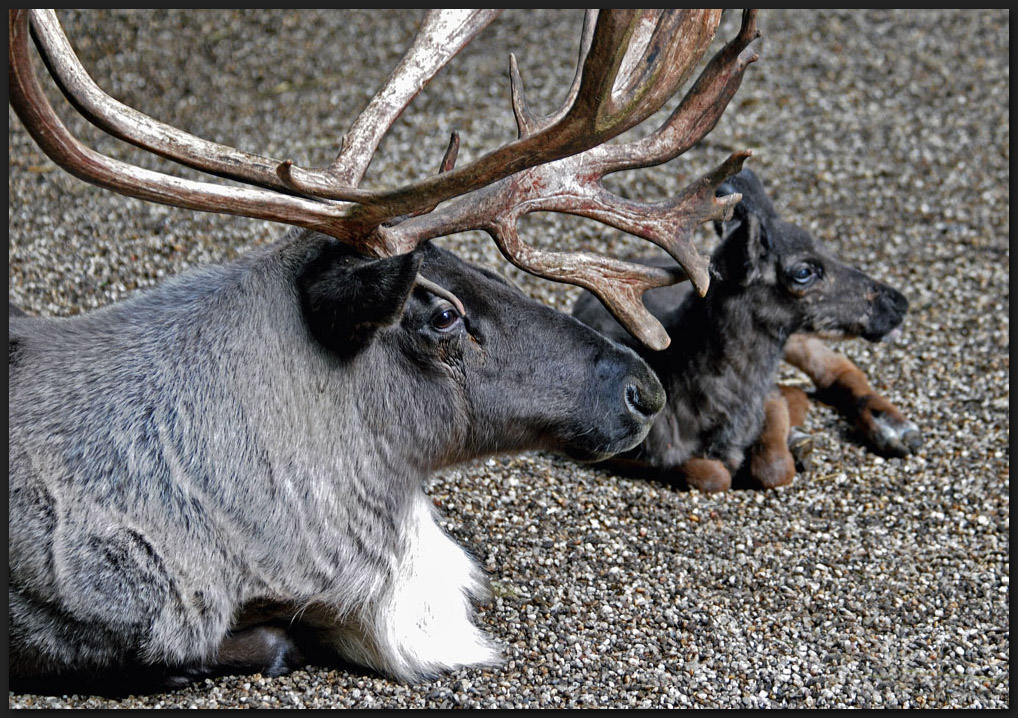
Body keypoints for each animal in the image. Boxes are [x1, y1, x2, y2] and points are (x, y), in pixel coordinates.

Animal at [574, 168, 924, 492]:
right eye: (804, 272)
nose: (898, 302)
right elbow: (711, 473)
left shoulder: (768, 397)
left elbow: (774, 465)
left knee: (835, 366)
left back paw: (895, 429)